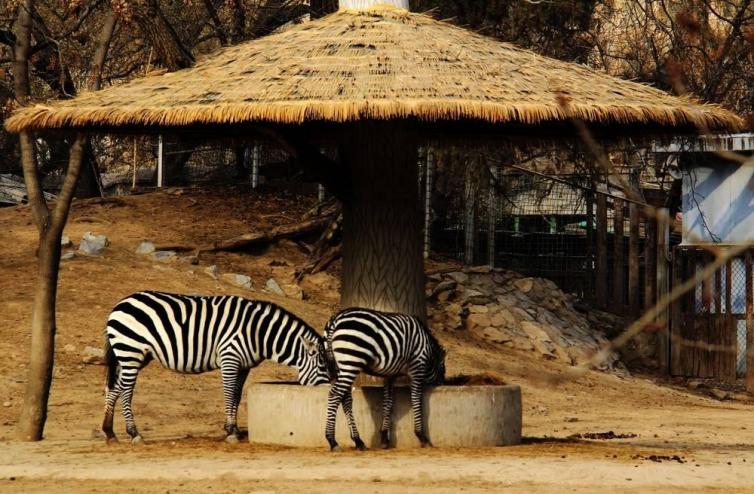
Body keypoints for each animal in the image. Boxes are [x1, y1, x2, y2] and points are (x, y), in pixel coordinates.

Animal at [100, 290, 328, 444]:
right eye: (325, 367)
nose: (329, 392)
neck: (258, 333)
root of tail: (120, 303)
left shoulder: (244, 366)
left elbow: (236, 395)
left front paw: (235, 430)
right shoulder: (230, 358)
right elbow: (228, 394)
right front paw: (230, 431)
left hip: (133, 355)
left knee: (114, 389)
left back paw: (109, 432)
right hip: (130, 352)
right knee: (126, 391)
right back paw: (134, 433)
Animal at [324, 308, 444, 452]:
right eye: (441, 373)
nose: (442, 384)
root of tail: (336, 318)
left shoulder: (390, 375)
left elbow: (388, 402)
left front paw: (384, 438)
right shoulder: (417, 367)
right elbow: (416, 400)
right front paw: (422, 436)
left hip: (337, 367)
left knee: (345, 399)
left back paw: (358, 441)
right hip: (351, 361)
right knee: (334, 395)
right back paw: (332, 441)